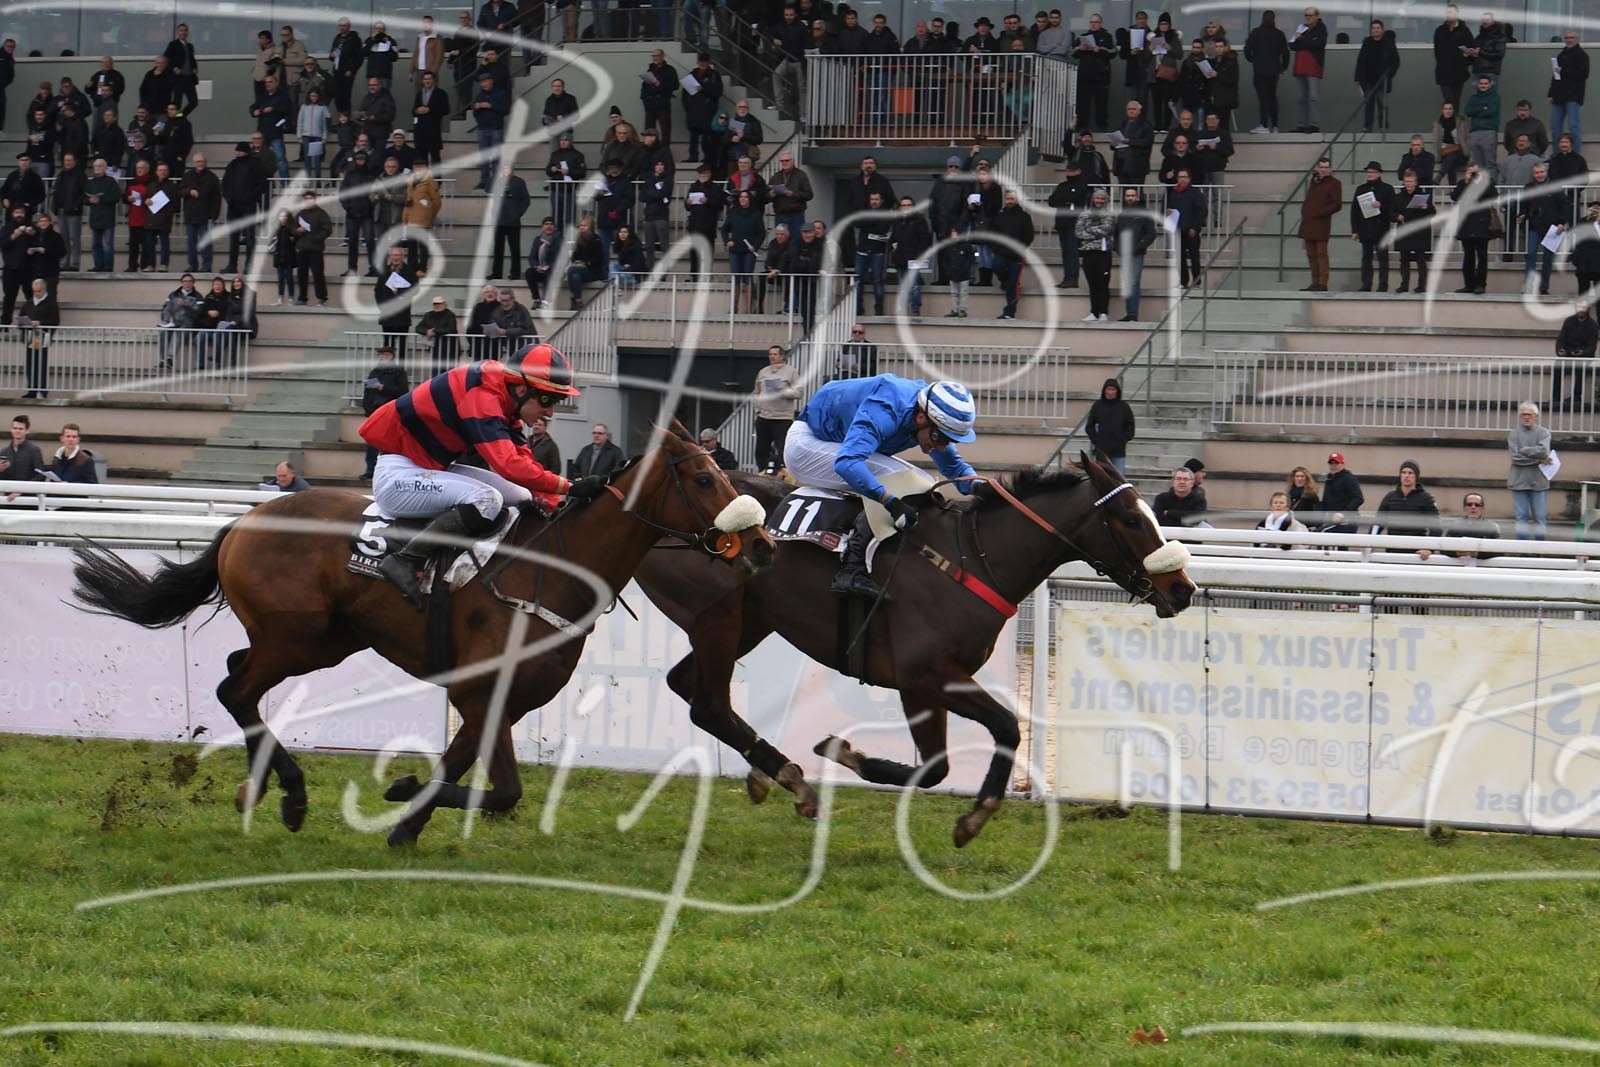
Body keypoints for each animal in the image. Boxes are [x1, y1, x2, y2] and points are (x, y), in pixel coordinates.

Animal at [71, 429, 775, 845]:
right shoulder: (480, 692)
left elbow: (481, 778)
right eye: (705, 479)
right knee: (233, 688)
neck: (554, 567)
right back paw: (291, 795)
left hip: (324, 640)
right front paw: (402, 795)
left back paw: (263, 786)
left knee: (236, 673)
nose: (763, 546)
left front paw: (406, 815)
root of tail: (246, 521)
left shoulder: (500, 701)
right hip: (294, 637)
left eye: (725, 472)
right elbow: (501, 789)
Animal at [634, 453, 1196, 847]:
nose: (1184, 589)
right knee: (708, 703)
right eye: (1130, 519)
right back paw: (793, 779)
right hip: (719, 616)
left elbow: (948, 760)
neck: (974, 557)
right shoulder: (921, 675)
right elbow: (991, 736)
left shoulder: (937, 682)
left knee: (690, 688)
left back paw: (765, 773)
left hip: (749, 621)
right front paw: (969, 816)